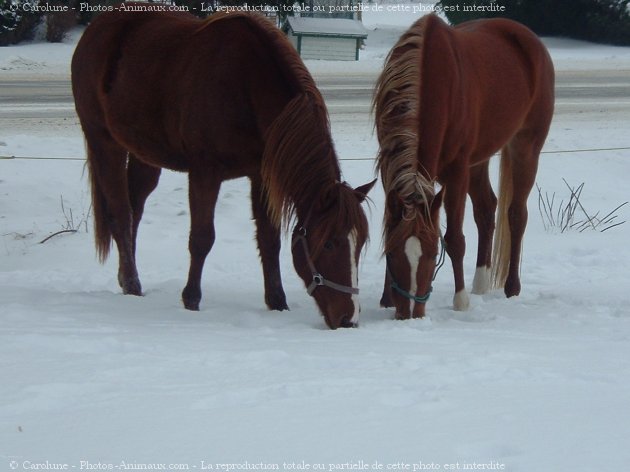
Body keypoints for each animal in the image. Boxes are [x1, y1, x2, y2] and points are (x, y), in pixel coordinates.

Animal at [70, 7, 376, 328]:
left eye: (360, 243)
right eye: (329, 243)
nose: (348, 318)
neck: (247, 85)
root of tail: (97, 28)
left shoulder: (261, 177)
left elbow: (269, 240)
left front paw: (277, 303)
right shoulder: (205, 173)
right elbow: (202, 238)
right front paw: (191, 300)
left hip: (144, 155)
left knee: (134, 211)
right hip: (105, 142)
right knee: (120, 213)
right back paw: (132, 284)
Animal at [376, 14, 552, 318]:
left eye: (433, 253)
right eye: (394, 253)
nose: (410, 313)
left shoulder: (456, 173)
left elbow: (455, 239)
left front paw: (460, 301)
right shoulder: (389, 169)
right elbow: (390, 226)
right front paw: (387, 298)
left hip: (525, 148)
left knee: (516, 214)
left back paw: (511, 288)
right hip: (477, 162)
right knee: (486, 209)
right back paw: (480, 282)